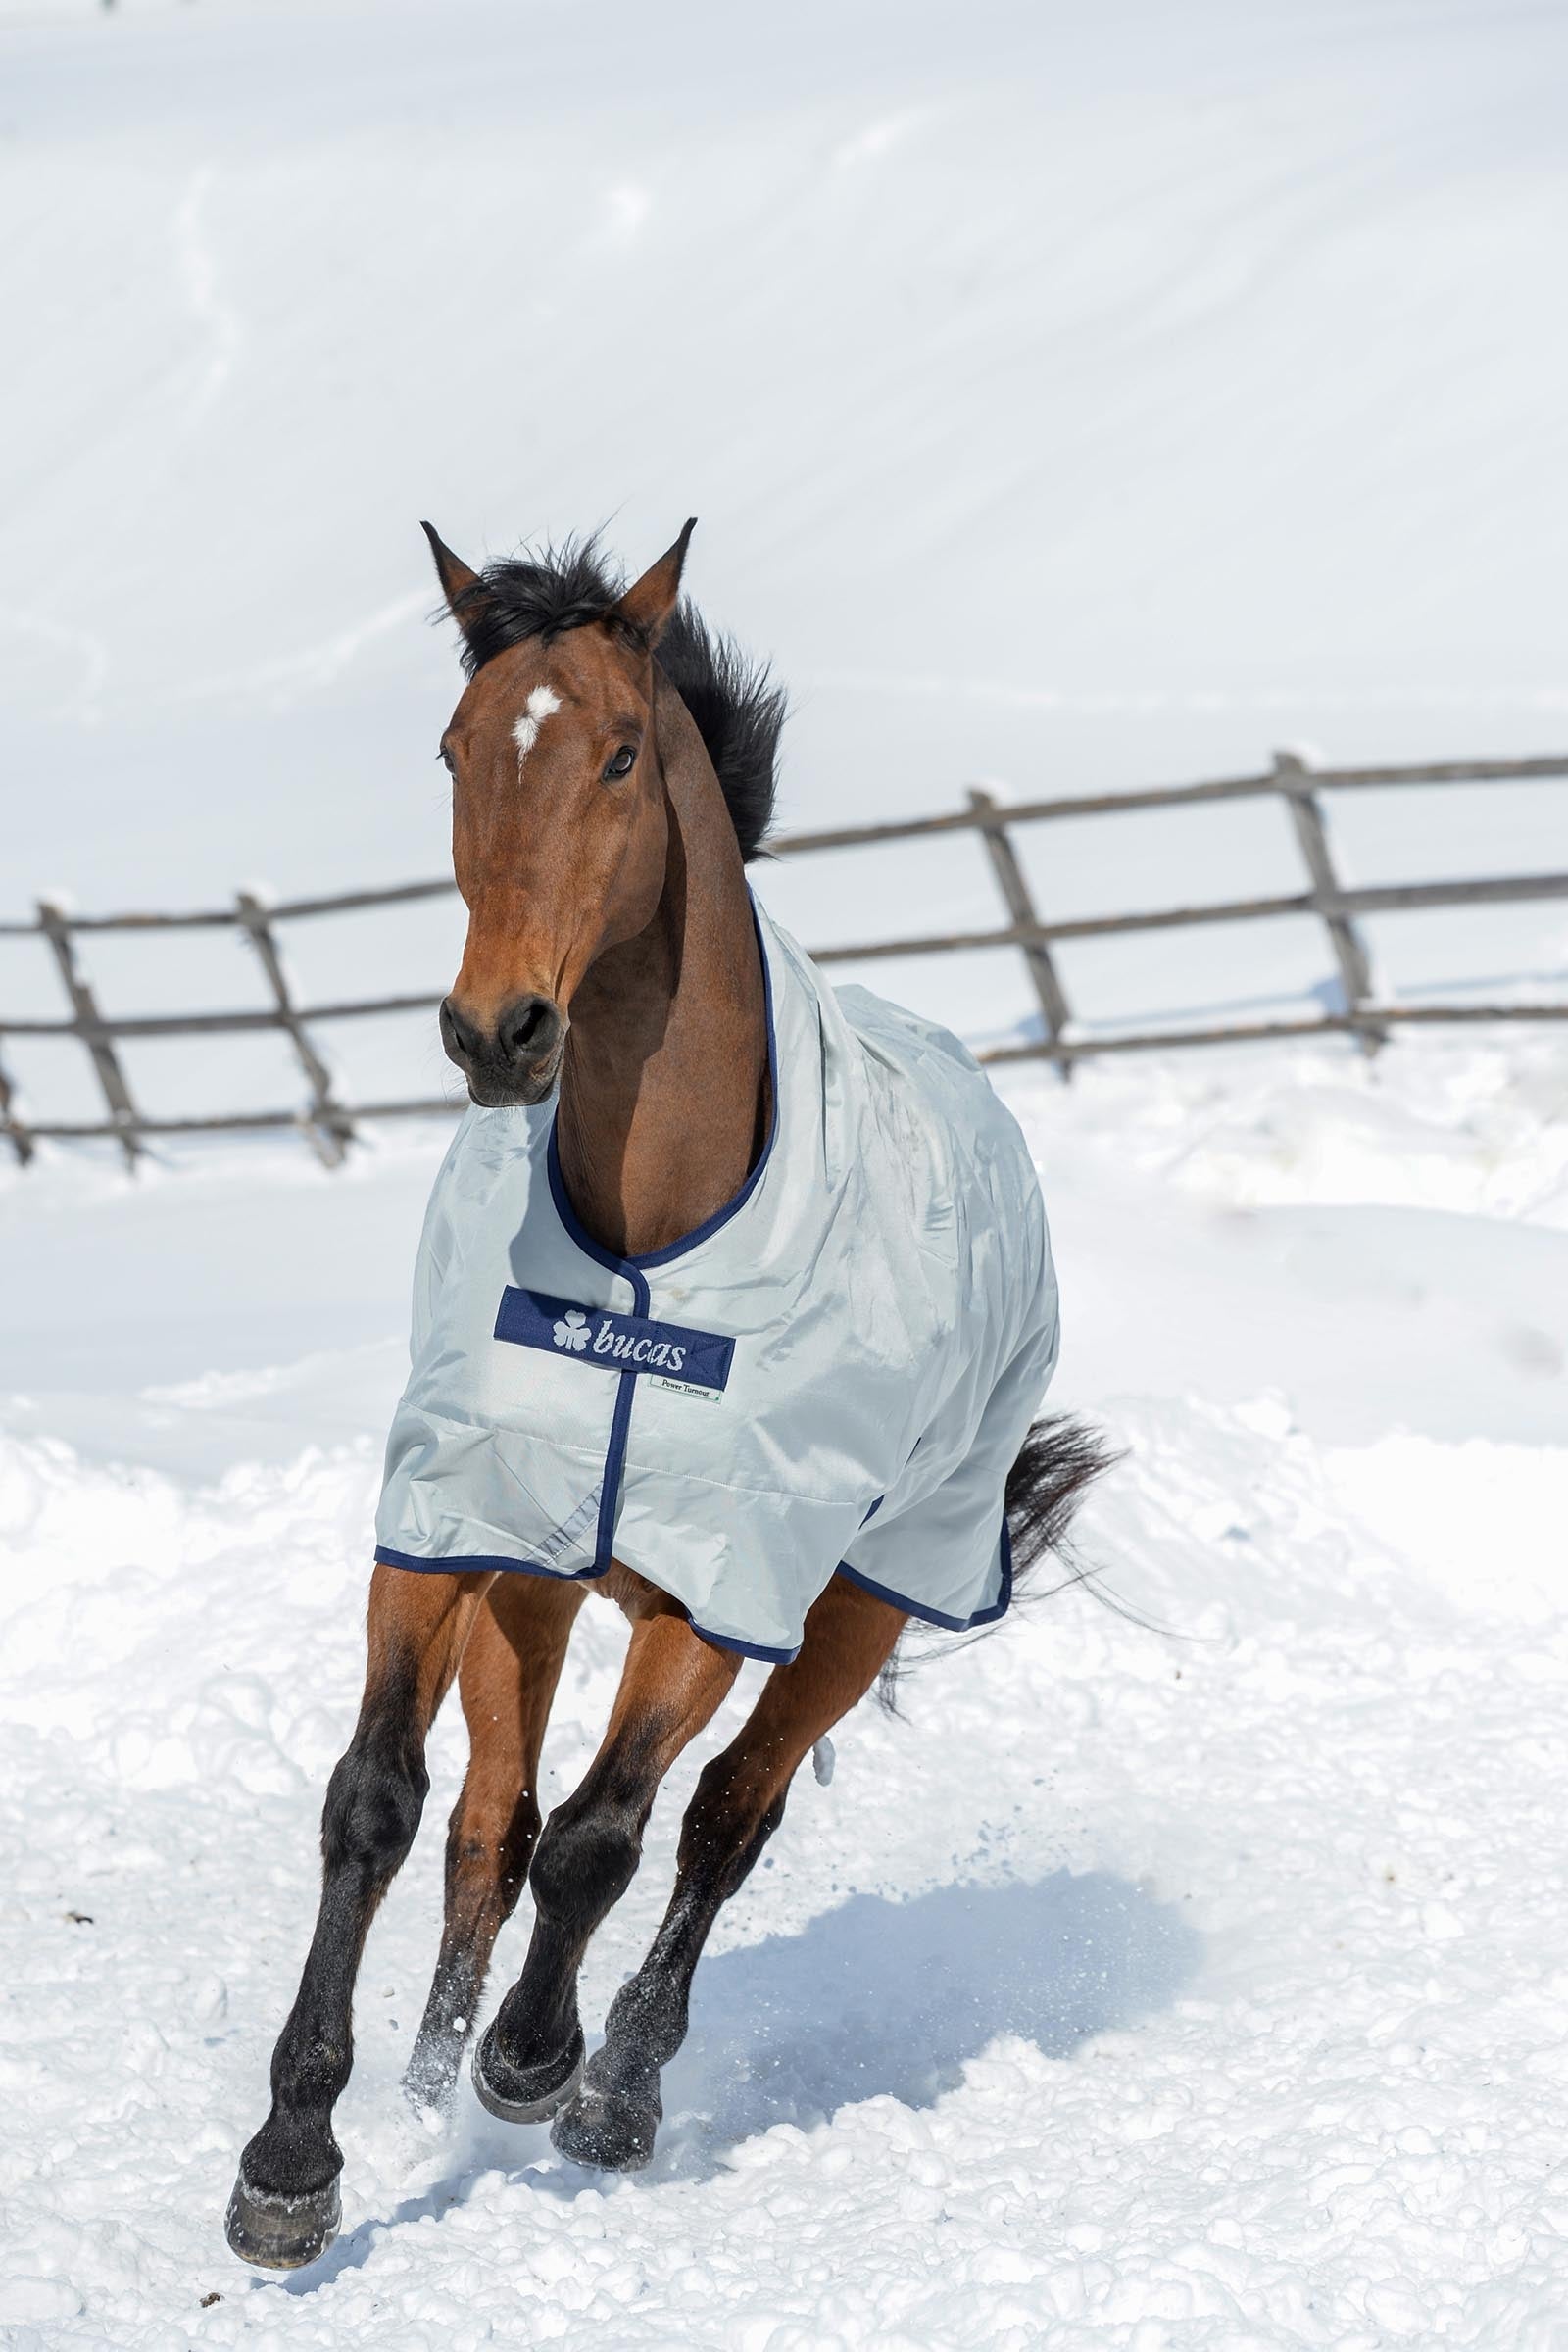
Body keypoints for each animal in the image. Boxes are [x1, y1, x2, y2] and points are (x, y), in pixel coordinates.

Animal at [224, 522, 1106, 2269]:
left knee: (721, 1821)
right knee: (489, 1825)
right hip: (545, 1585)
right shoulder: (449, 1525)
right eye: (455, 751)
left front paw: (535, 2064)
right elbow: (383, 1805)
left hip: (864, 1601)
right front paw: (298, 2154)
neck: (654, 1240)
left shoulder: (728, 1578)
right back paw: (428, 2079)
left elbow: (608, 1838)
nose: (498, 1032)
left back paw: (615, 2085)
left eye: (624, 754)